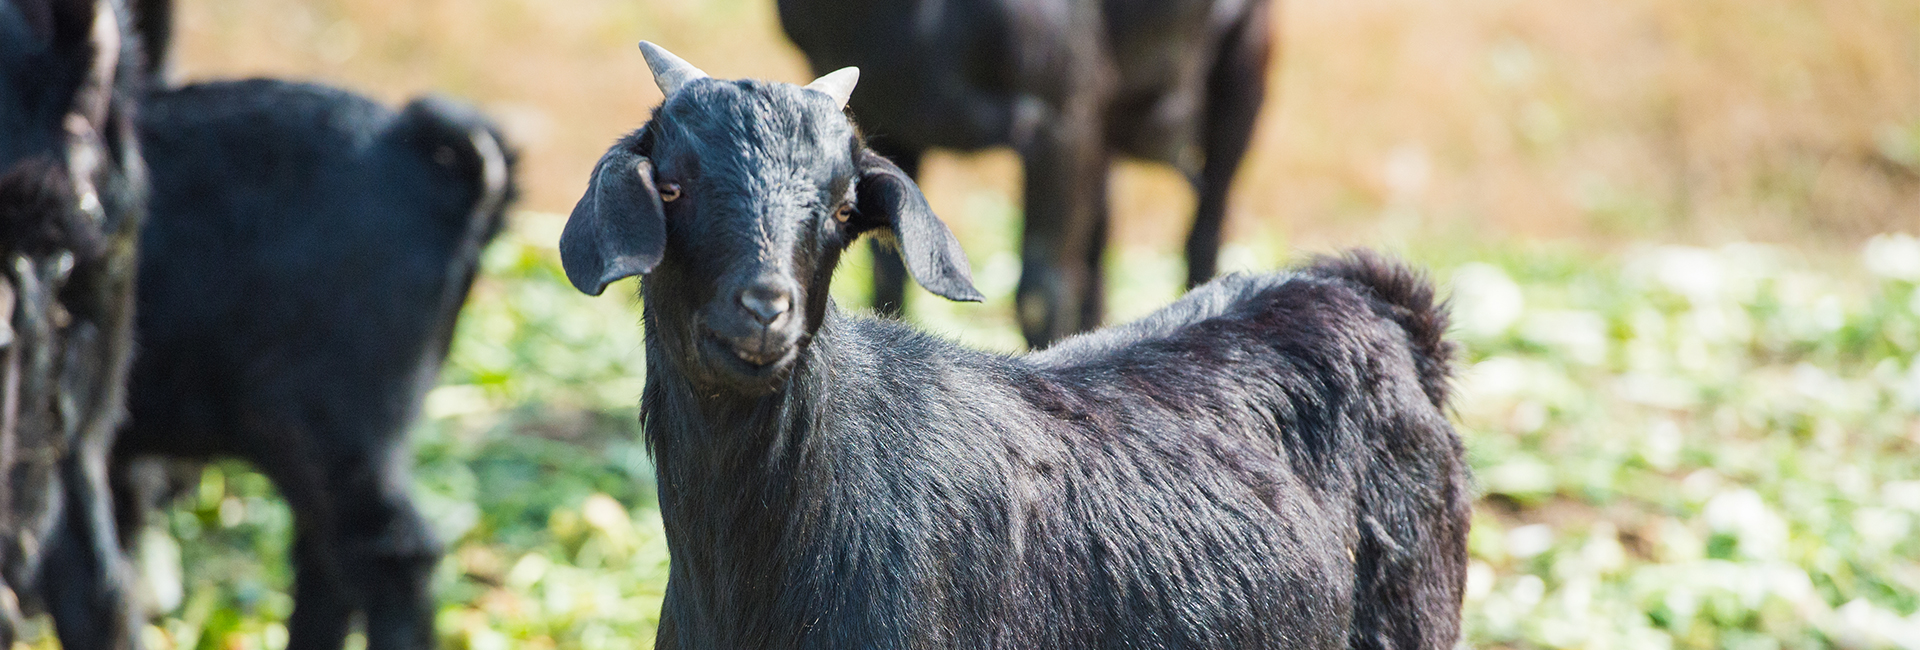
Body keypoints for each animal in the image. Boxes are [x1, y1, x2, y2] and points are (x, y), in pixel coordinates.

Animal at [771, 0, 1282, 348]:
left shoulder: (1059, 118)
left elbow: (1040, 294)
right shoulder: (893, 127)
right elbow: (889, 282)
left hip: (1236, 75)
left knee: (1206, 225)